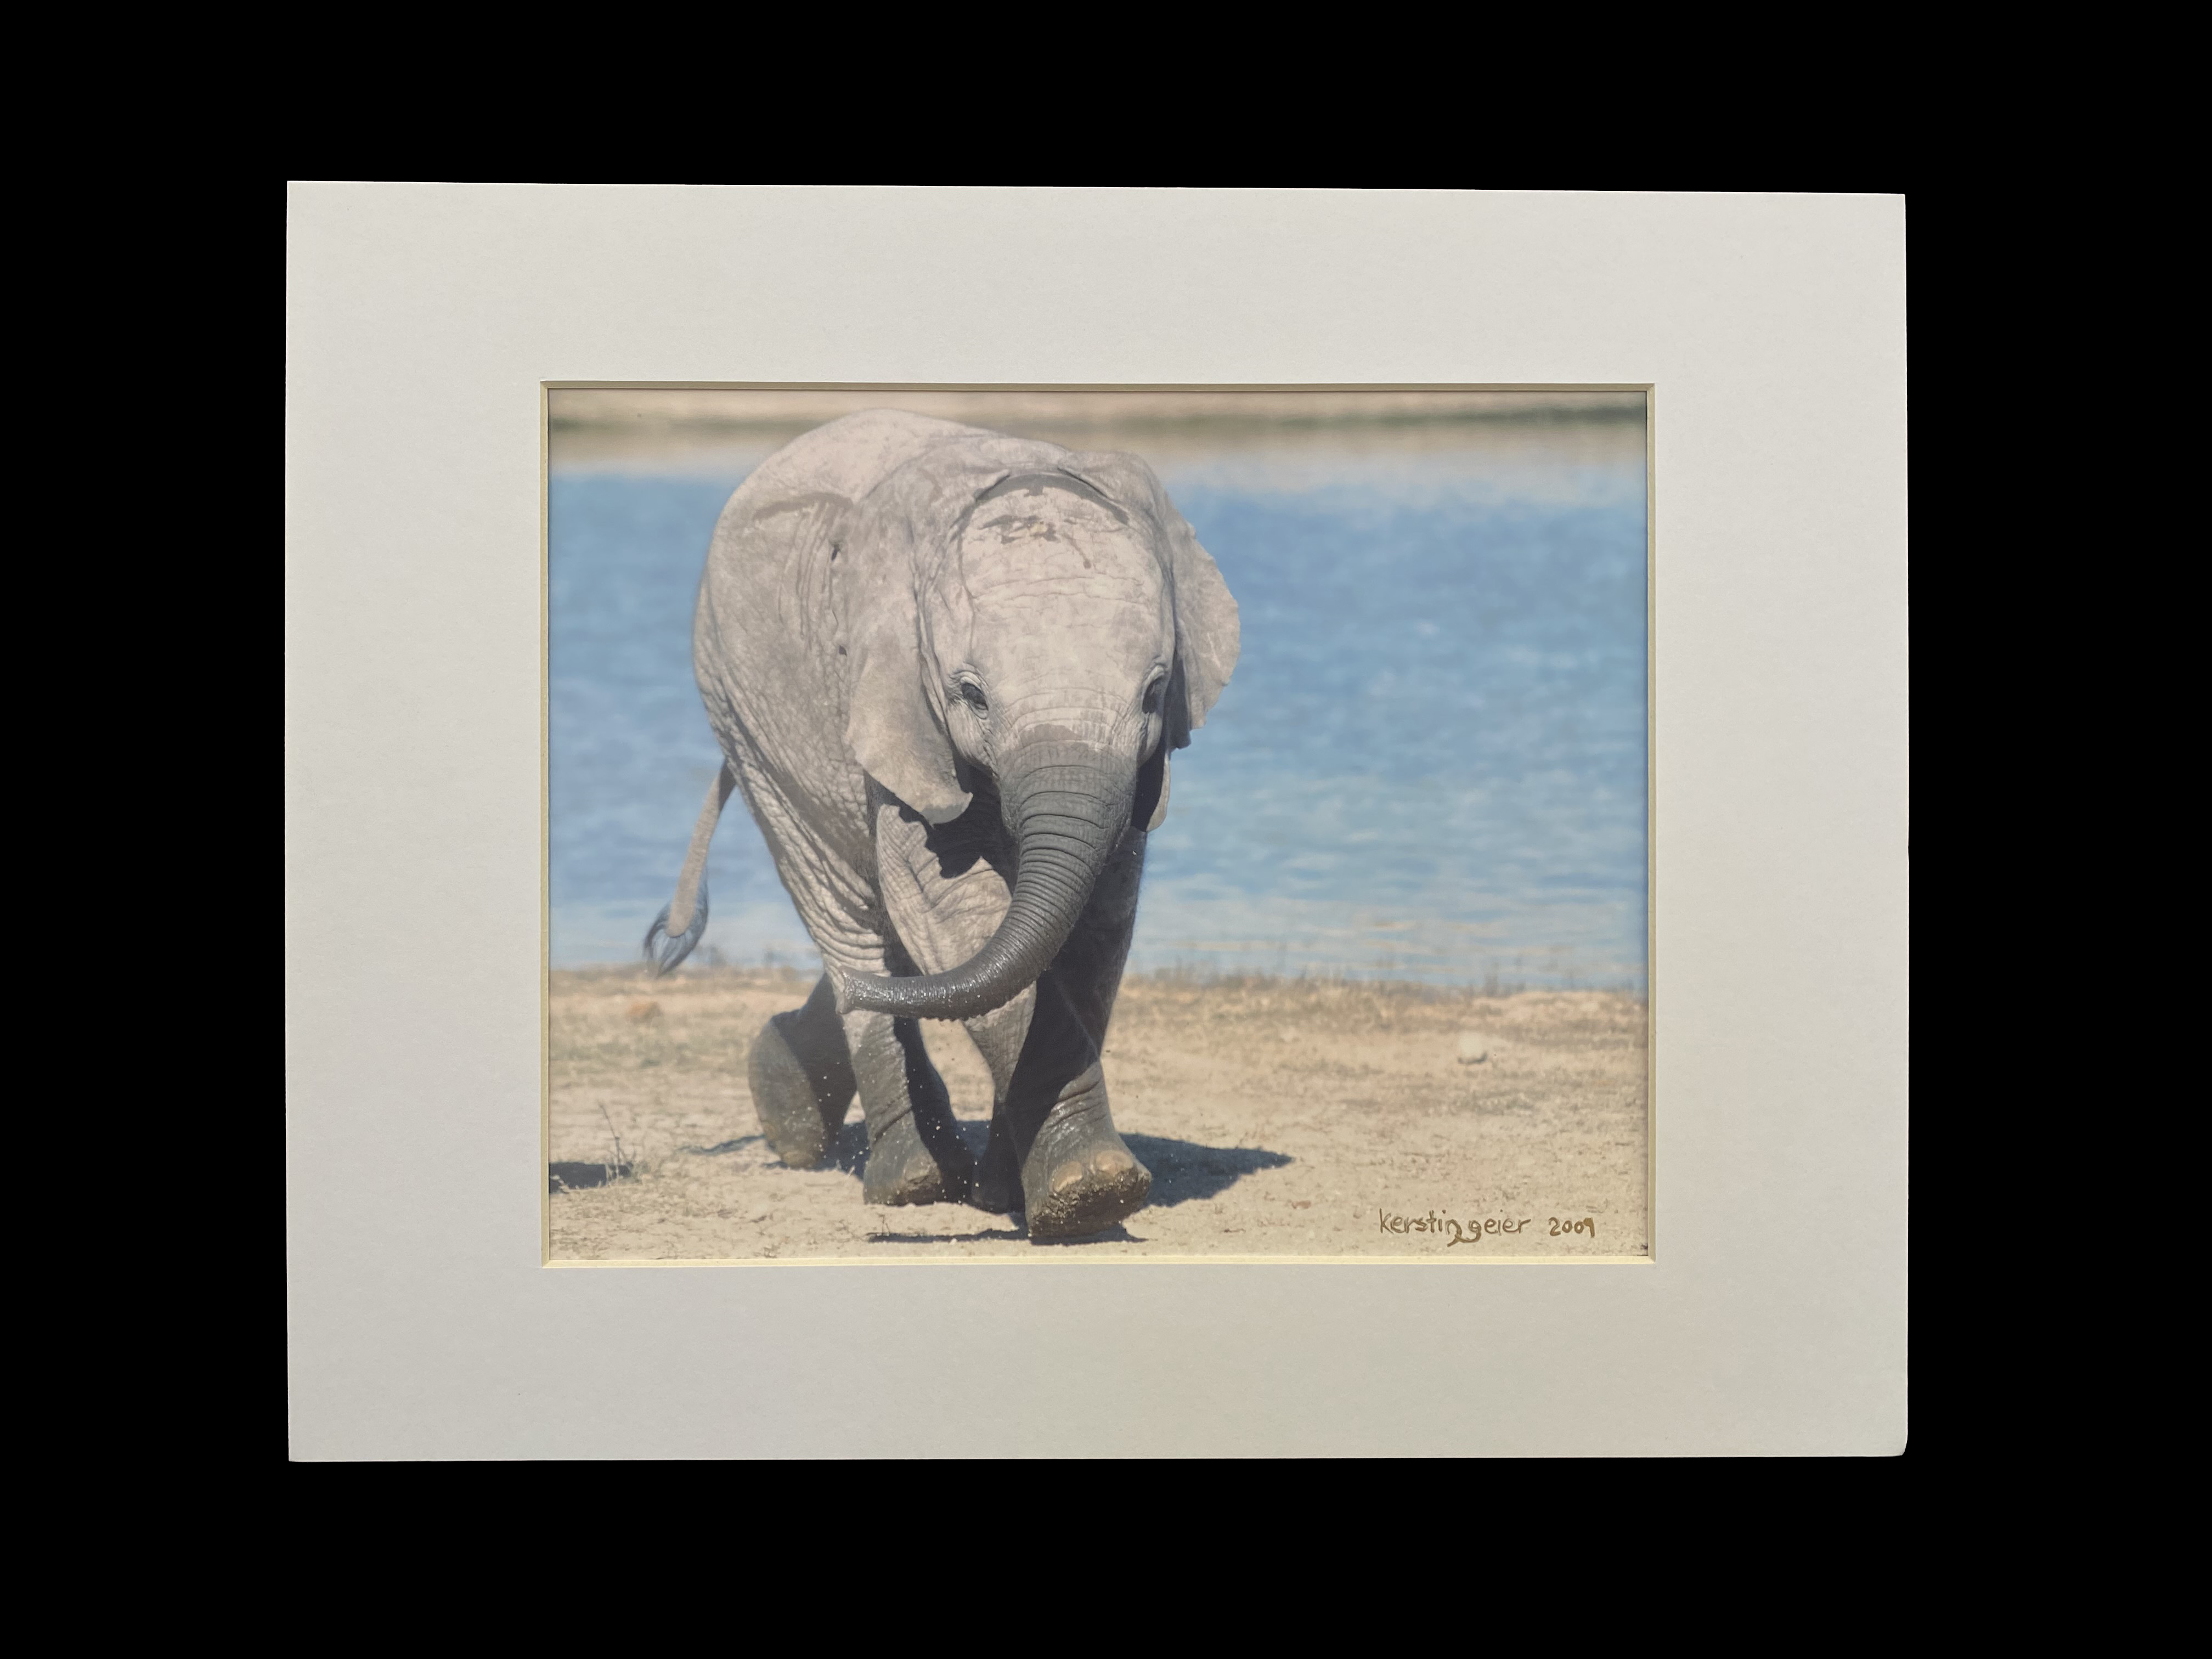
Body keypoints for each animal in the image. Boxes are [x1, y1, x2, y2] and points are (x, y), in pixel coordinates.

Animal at [646, 411, 1248, 1238]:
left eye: (1157, 692)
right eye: (973, 695)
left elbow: (1097, 926)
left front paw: (1040, 1194)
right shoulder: (893, 696)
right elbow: (947, 904)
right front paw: (1091, 1190)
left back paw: (798, 1091)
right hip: (741, 709)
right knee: (846, 908)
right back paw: (909, 1180)